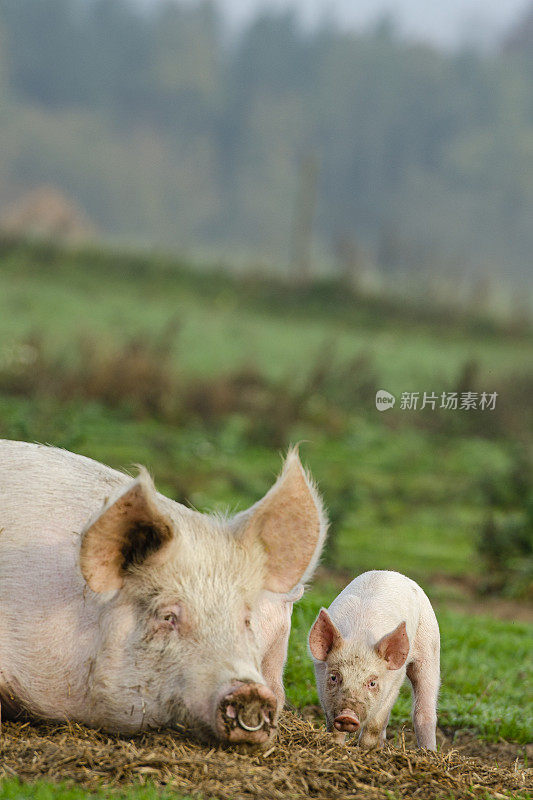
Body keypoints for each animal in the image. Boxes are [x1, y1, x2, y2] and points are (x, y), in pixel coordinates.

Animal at [310, 568, 438, 752]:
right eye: (334, 677)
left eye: (372, 683)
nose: (347, 715)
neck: (360, 637)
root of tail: (391, 572)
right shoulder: (321, 678)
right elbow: (332, 724)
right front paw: (335, 746)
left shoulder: (395, 679)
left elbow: (375, 724)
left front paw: (365, 750)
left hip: (430, 647)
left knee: (424, 709)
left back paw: (429, 752)